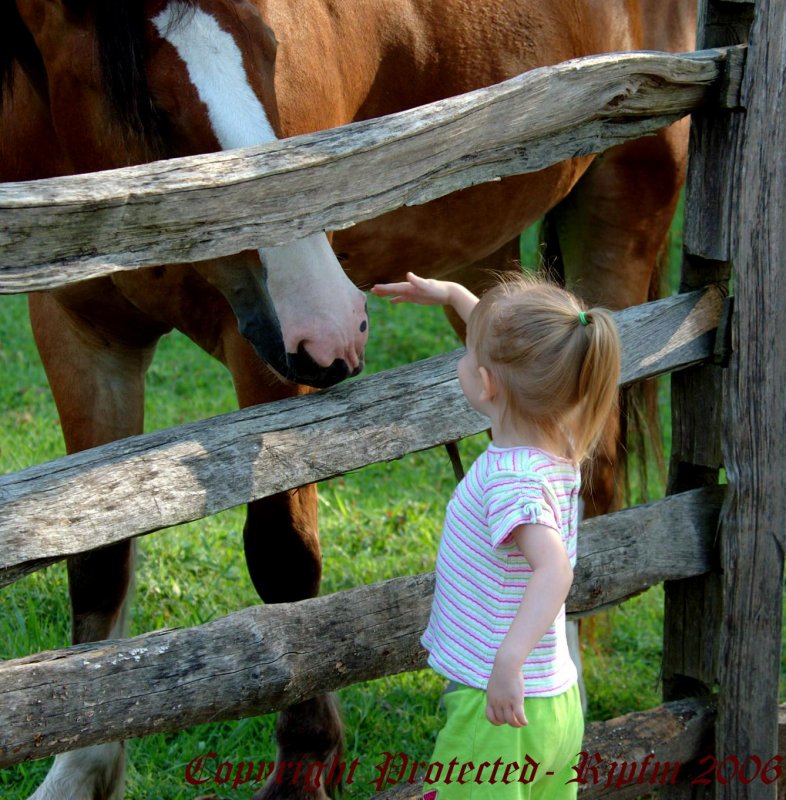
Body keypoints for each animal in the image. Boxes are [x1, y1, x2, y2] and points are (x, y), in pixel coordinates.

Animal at [0, 1, 692, 800]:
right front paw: (79, 773)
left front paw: (304, 766)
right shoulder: (79, 337)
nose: (333, 324)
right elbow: (98, 558)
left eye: (272, 55)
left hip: (625, 198)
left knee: (588, 478)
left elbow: (282, 555)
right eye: (151, 104)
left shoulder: (266, 360)